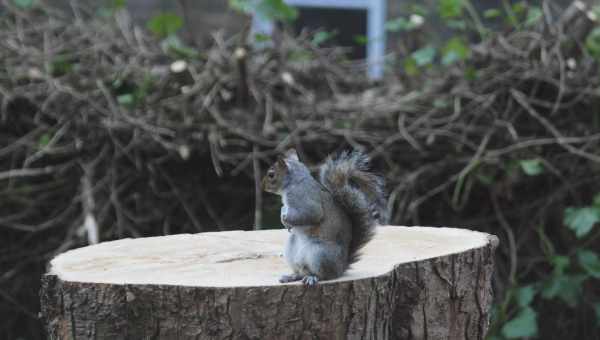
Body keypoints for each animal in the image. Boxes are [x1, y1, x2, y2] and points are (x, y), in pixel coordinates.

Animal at [262, 148, 390, 284]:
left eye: (271, 174)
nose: (263, 186)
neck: (293, 183)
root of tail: (341, 268)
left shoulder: (304, 199)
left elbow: (311, 214)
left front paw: (286, 219)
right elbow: (284, 208)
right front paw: (283, 216)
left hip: (320, 254)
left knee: (324, 275)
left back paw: (313, 277)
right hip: (292, 250)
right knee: (301, 271)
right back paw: (292, 276)